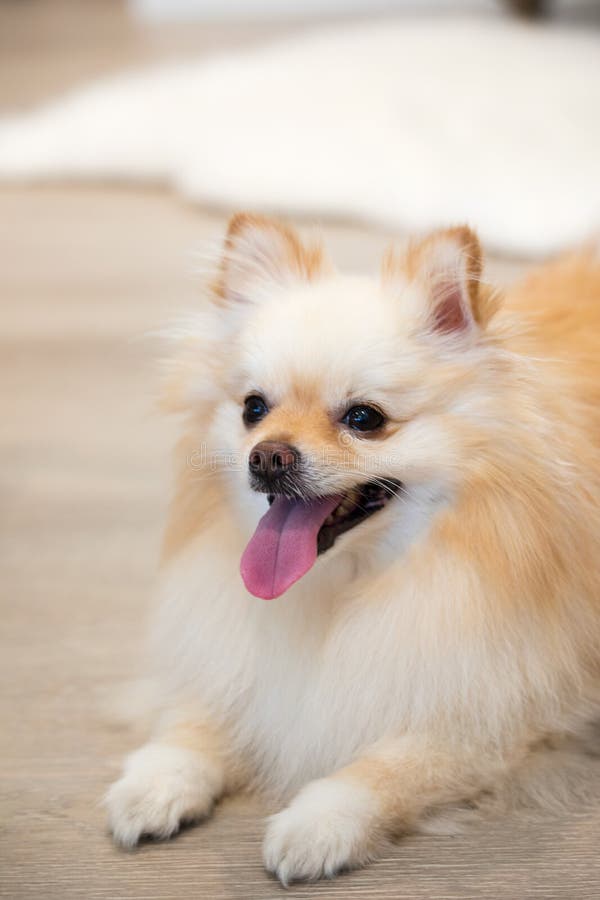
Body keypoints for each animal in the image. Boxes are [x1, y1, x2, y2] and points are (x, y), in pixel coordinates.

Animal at [104, 214, 600, 884]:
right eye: (253, 408)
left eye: (364, 418)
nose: (268, 455)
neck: (344, 587)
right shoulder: (239, 661)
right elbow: (201, 713)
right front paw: (155, 779)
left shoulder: (502, 711)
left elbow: (390, 766)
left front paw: (319, 824)